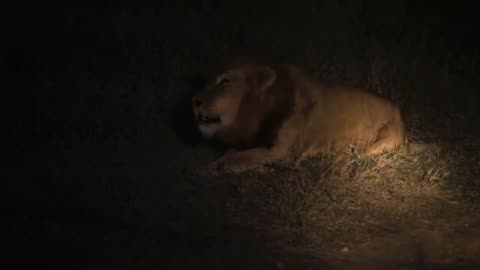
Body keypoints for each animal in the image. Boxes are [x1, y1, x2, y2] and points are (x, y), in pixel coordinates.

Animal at [191, 59, 412, 175]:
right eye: (208, 82)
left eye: (224, 82)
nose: (194, 101)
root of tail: (399, 111)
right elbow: (231, 153)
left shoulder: (278, 151)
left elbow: (236, 158)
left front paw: (203, 170)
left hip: (382, 142)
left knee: (359, 156)